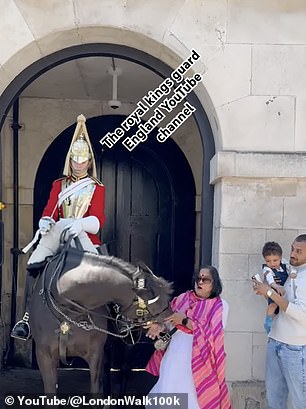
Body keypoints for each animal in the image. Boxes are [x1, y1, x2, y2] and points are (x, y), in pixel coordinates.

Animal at [28, 241, 172, 394]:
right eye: (155, 303)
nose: (171, 320)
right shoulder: (45, 356)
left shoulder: (95, 354)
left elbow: (96, 388)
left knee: (124, 367)